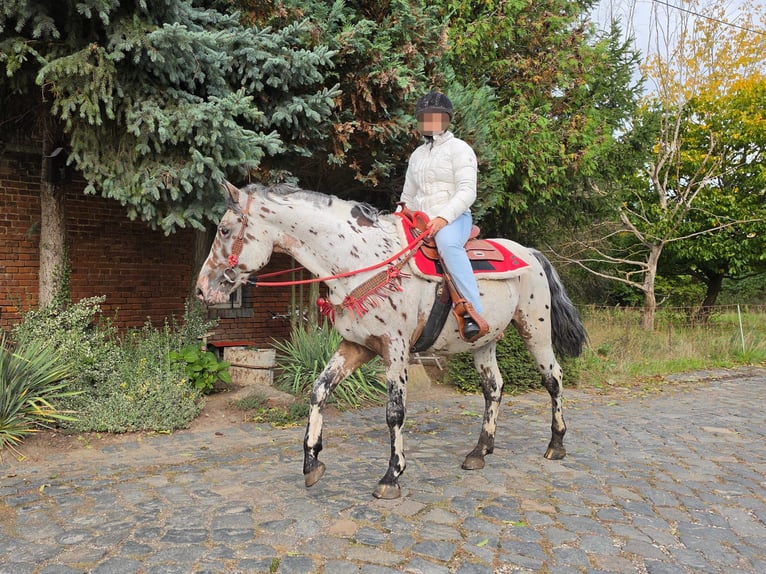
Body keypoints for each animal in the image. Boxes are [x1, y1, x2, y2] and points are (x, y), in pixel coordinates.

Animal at [196, 181, 587, 499]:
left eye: (224, 229)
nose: (201, 290)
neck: (361, 262)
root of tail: (530, 253)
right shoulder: (356, 346)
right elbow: (319, 390)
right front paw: (311, 462)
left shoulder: (395, 349)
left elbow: (394, 412)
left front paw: (391, 476)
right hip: (484, 341)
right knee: (494, 387)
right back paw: (480, 451)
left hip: (535, 330)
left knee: (553, 379)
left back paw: (556, 445)